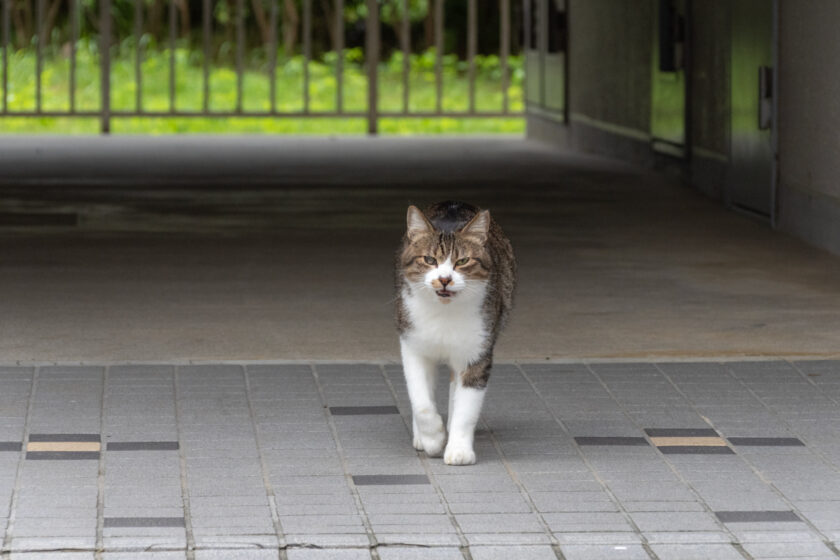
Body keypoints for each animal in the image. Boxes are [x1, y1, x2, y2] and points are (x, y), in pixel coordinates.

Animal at [398, 200, 516, 464]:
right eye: (429, 259)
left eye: (462, 261)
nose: (444, 279)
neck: (445, 311)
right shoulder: (412, 345)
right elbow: (420, 401)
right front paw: (433, 439)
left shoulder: (477, 351)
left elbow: (466, 406)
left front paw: (459, 449)